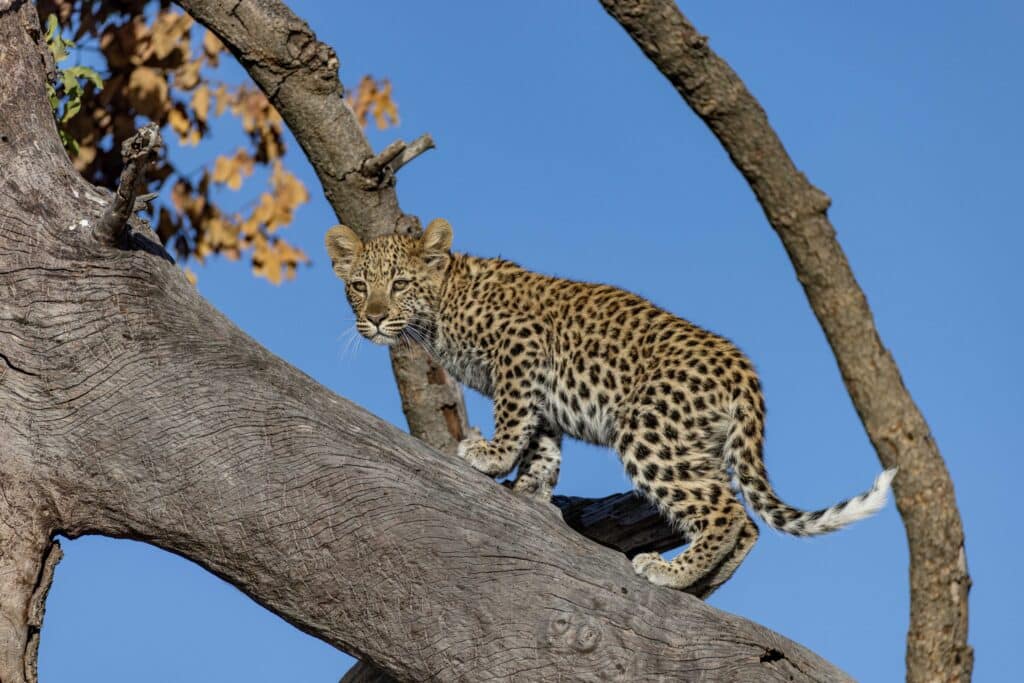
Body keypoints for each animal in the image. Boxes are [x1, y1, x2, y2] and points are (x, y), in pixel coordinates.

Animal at [325, 218, 896, 597]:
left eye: (399, 284)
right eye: (359, 286)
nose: (374, 318)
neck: (440, 307)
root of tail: (743, 369)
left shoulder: (521, 347)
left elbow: (514, 416)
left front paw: (490, 457)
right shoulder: (540, 389)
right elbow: (543, 443)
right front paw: (530, 489)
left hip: (650, 432)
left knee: (725, 511)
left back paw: (670, 571)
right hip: (696, 444)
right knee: (748, 523)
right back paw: (698, 585)